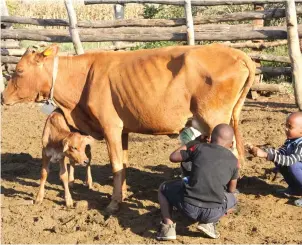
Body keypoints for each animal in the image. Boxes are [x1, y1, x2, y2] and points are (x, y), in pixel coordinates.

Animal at [1, 43, 255, 212]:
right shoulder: (123, 130)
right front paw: (122, 194)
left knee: (231, 156)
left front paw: (113, 203)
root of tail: (236, 52)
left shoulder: (111, 126)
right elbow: (123, 164)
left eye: (19, 71)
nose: (3, 97)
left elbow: (115, 165)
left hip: (215, 120)